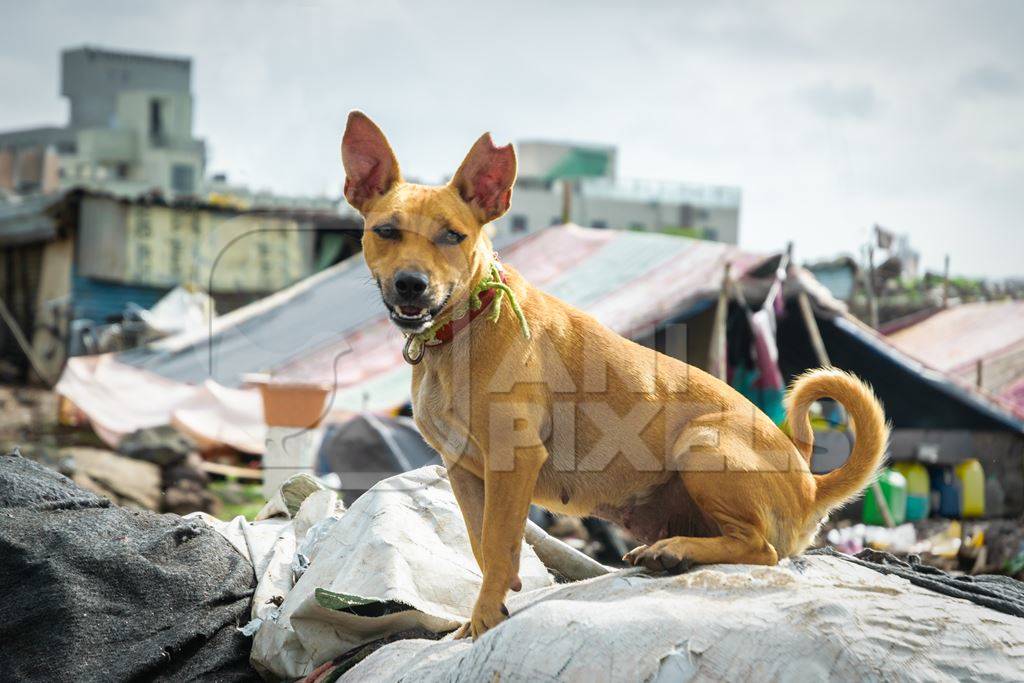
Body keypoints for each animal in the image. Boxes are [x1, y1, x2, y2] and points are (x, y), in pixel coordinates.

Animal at [342, 112, 888, 643]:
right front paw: (480, 614)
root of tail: (810, 484)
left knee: (761, 549)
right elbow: (481, 545)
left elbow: (497, 547)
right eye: (386, 231)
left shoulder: (514, 459)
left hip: (702, 443)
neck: (465, 325)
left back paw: (676, 550)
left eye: (453, 236)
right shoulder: (463, 470)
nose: (411, 285)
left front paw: (485, 618)